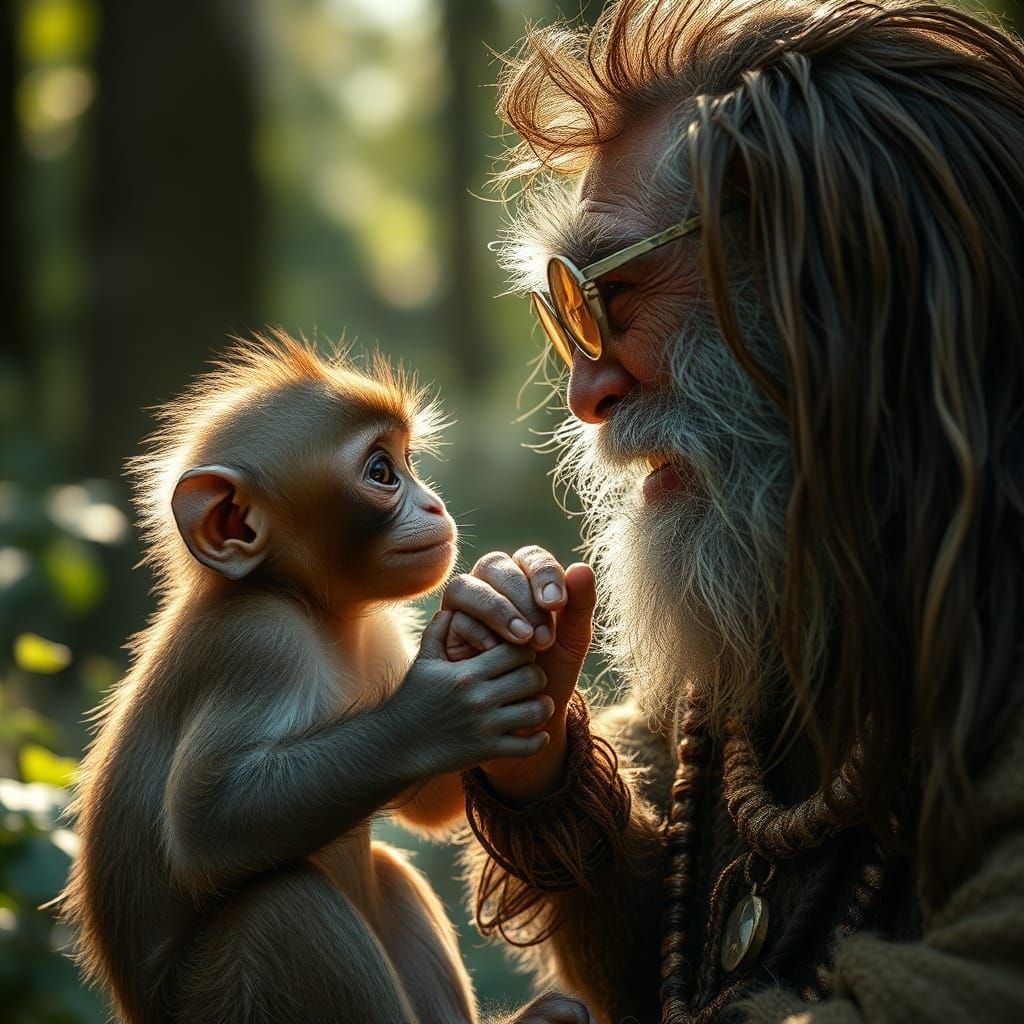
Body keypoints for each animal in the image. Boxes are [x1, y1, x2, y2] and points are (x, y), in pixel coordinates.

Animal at [58, 333, 592, 1024]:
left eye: (407, 461)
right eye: (382, 473)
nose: (434, 503)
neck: (318, 612)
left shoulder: (381, 629)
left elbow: (429, 804)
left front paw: (514, 607)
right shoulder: (257, 641)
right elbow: (204, 823)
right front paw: (439, 714)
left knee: (385, 871)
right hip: (210, 1000)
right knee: (281, 907)